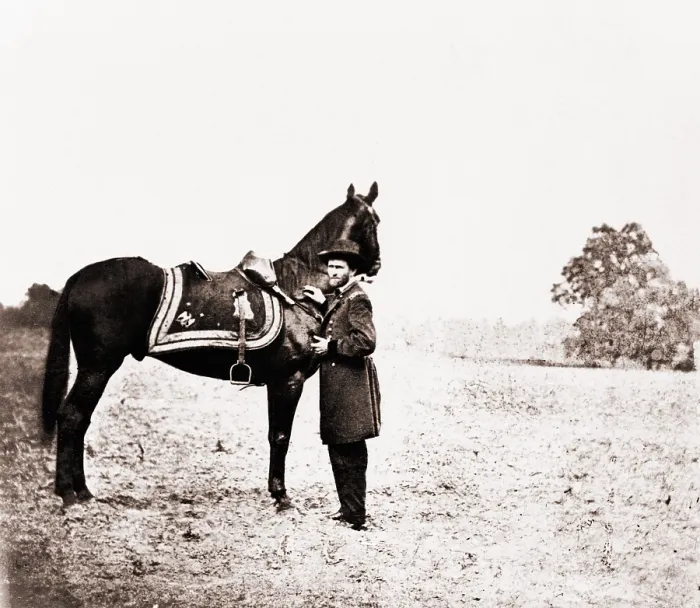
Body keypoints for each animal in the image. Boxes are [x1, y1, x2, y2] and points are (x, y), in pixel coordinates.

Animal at [41, 182, 382, 508]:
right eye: (373, 222)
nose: (377, 264)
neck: (293, 289)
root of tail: (79, 276)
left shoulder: (278, 381)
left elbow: (275, 435)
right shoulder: (288, 380)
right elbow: (280, 437)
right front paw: (281, 497)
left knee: (80, 420)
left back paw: (82, 491)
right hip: (97, 367)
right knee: (72, 417)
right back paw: (69, 494)